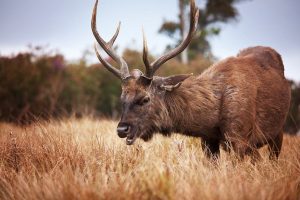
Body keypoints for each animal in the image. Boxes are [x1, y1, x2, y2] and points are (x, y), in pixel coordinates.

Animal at [91, 0, 290, 159]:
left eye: (145, 99)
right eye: (122, 98)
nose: (122, 129)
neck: (212, 120)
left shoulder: (241, 138)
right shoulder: (208, 140)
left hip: (277, 132)